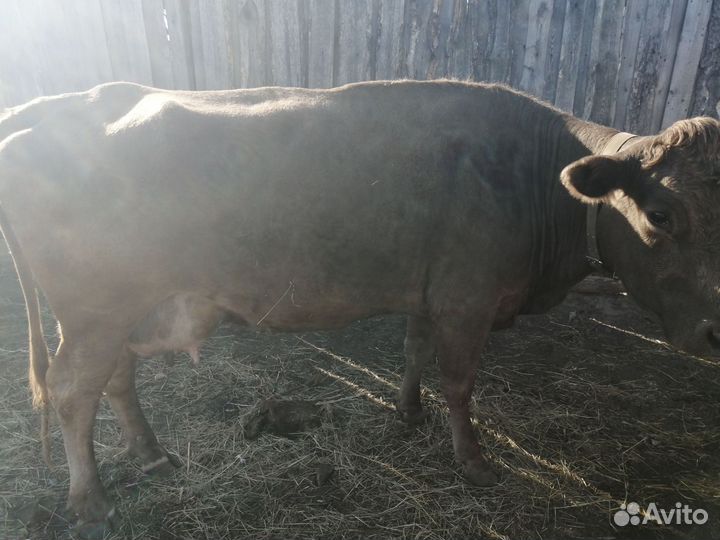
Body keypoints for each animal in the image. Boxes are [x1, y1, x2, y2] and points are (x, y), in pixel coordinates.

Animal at [0, 80, 718, 537]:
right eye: (660, 214)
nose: (715, 335)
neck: (534, 176)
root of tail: (44, 112)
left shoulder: (429, 292)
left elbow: (413, 354)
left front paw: (407, 412)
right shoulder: (467, 299)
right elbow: (460, 382)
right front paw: (473, 461)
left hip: (116, 312)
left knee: (116, 379)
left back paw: (149, 453)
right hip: (95, 313)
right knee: (73, 392)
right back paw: (91, 501)